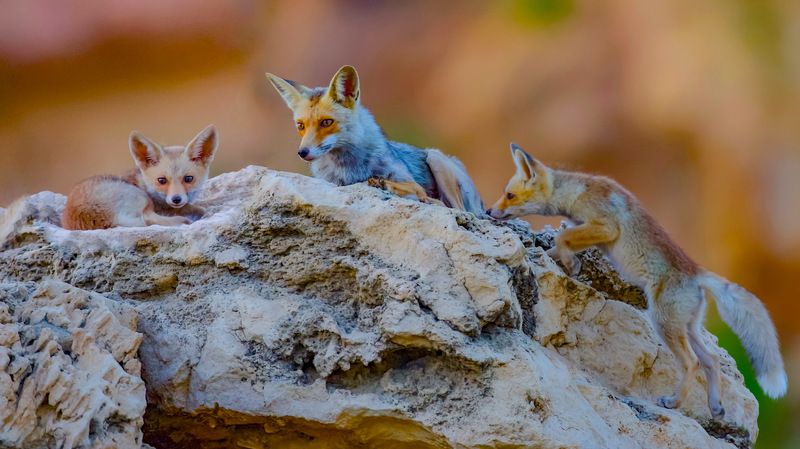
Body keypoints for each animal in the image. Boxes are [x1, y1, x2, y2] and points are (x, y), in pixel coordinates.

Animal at [62, 125, 218, 230]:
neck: (143, 183)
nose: (176, 199)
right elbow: (198, 208)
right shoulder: (161, 206)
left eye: (188, 179)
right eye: (162, 180)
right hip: (141, 198)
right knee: (148, 219)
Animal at [265, 65, 484, 215]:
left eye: (326, 122)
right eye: (300, 126)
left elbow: (411, 188)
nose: (302, 153)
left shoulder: (411, 182)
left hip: (435, 157)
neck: (348, 170)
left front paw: (382, 183)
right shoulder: (331, 183)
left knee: (458, 209)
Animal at [487, 143, 787, 419]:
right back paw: (715, 407)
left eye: (509, 195)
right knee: (711, 360)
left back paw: (674, 403)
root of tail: (696, 271)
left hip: (663, 322)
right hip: (687, 327)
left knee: (692, 363)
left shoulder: (607, 228)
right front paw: (555, 257)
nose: (489, 211)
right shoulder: (592, 232)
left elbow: (563, 237)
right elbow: (561, 243)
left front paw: (570, 264)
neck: (577, 191)